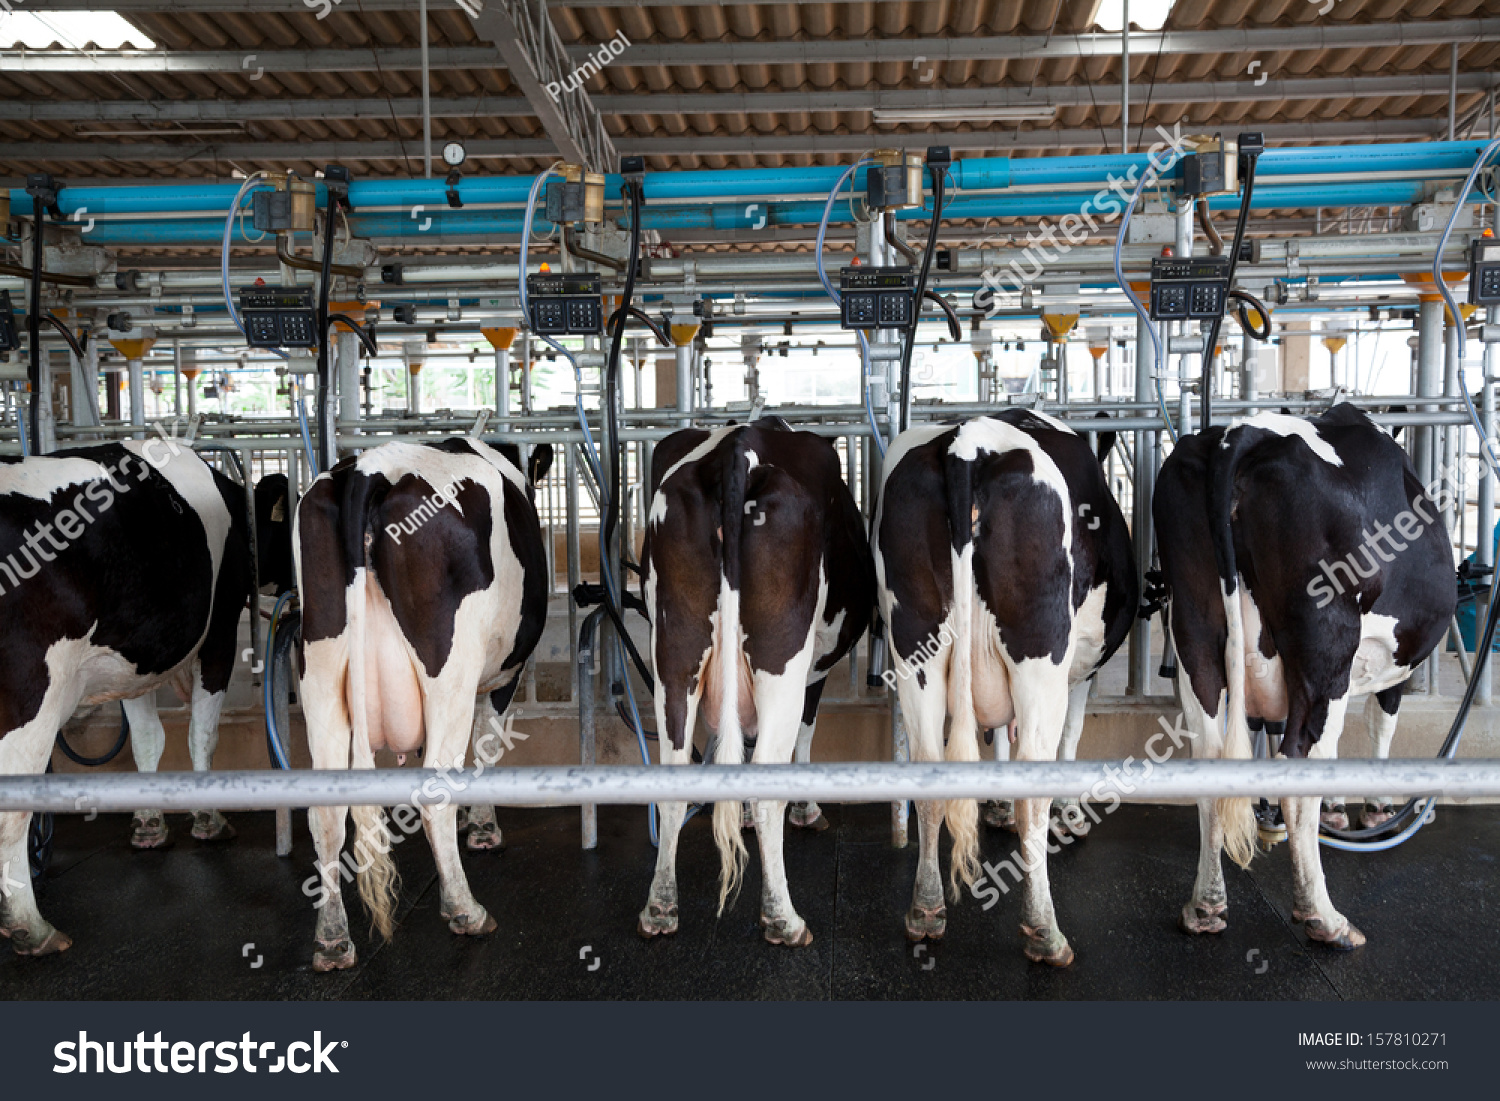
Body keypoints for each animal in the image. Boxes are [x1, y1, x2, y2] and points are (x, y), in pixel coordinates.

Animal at [0, 441, 252, 960]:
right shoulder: (219, 632)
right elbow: (202, 734)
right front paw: (208, 817)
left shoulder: (134, 662)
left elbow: (148, 739)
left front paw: (150, 822)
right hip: (29, 695)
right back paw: (32, 927)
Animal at [292, 435, 552, 972]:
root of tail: (370, 470)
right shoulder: (504, 675)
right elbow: (487, 744)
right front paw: (483, 828)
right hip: (448, 670)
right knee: (435, 792)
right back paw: (466, 911)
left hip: (320, 670)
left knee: (324, 811)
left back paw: (332, 939)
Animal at [636, 417, 876, 954]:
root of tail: (737, 450)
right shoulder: (813, 674)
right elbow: (804, 735)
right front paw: (806, 810)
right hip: (781, 660)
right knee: (770, 781)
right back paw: (784, 918)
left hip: (673, 656)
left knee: (672, 775)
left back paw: (660, 907)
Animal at [870, 411, 1134, 966]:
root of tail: (970, 443)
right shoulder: (1083, 669)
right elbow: (1069, 741)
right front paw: (1069, 817)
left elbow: (999, 739)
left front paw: (995, 805)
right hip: (1040, 651)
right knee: (1034, 781)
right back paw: (1044, 931)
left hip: (915, 645)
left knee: (929, 767)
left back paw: (925, 910)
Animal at [1146, 411, 1452, 954]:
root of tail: (1242, 434)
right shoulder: (1389, 665)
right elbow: (1381, 726)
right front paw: (1375, 808)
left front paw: (1341, 808)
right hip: (1324, 647)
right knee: (1298, 769)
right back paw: (1325, 919)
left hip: (1194, 634)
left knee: (1209, 759)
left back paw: (1205, 907)